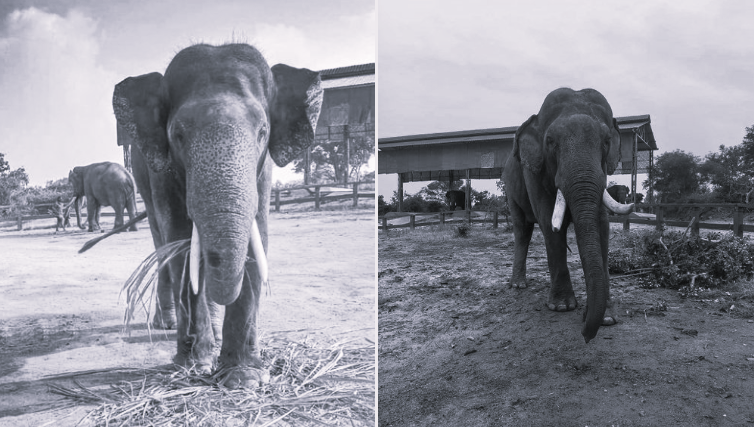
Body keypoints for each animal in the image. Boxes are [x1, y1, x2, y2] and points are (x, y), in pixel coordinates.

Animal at [113, 43, 322, 388]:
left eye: (263, 131)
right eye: (178, 135)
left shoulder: (262, 170)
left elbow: (257, 235)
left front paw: (243, 379)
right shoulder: (162, 171)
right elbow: (180, 239)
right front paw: (194, 365)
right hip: (141, 178)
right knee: (160, 242)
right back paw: (169, 324)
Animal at [502, 88, 634, 343]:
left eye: (606, 141)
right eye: (550, 142)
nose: (585, 335)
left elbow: (601, 225)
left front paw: (607, 319)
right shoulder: (533, 170)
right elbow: (549, 224)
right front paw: (562, 307)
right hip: (510, 188)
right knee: (522, 230)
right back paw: (518, 285)